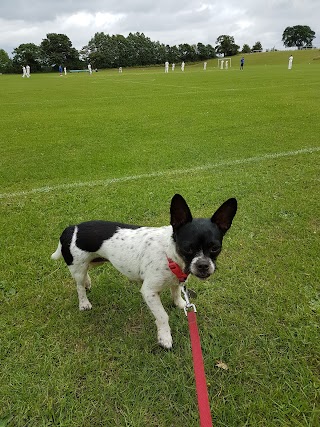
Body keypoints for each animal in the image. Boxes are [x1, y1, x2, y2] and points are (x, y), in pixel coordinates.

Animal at [52, 196, 238, 350]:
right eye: (188, 248)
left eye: (215, 248)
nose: (203, 265)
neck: (170, 254)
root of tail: (72, 228)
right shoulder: (149, 292)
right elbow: (162, 316)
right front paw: (165, 338)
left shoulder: (176, 280)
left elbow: (176, 292)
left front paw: (179, 303)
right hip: (78, 266)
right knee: (78, 286)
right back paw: (84, 302)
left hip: (94, 261)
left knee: (86, 275)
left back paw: (88, 282)